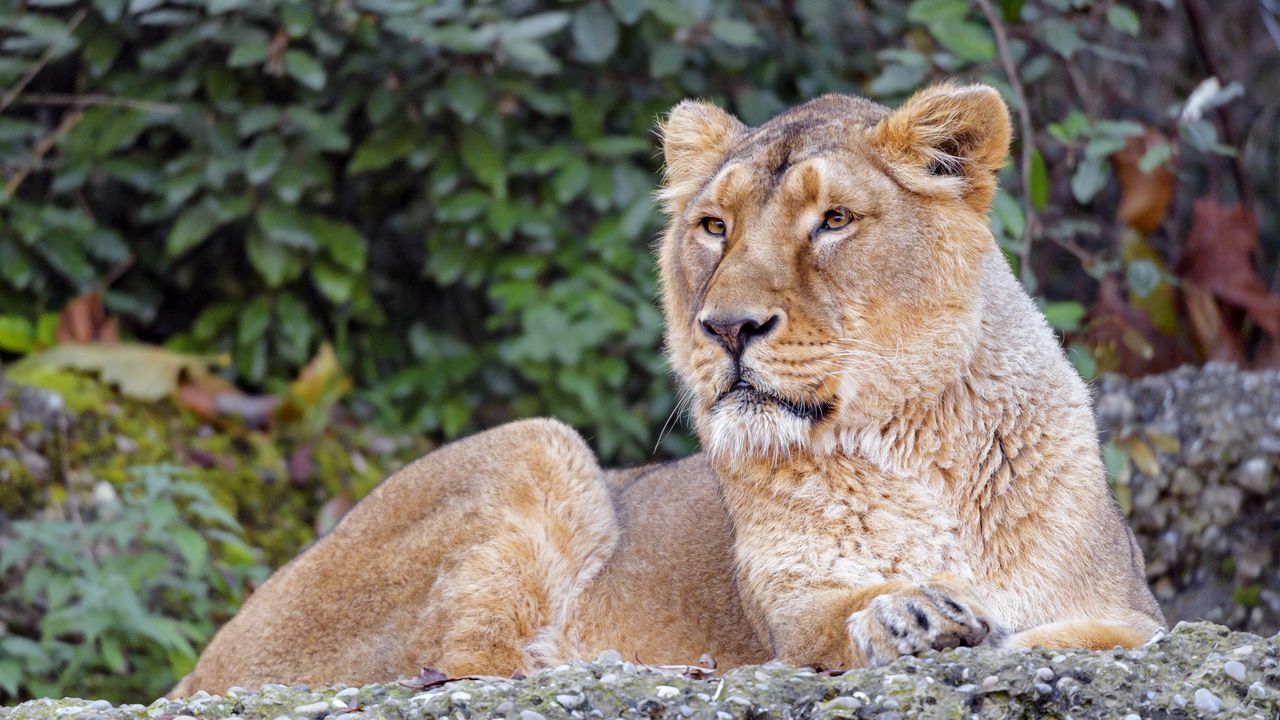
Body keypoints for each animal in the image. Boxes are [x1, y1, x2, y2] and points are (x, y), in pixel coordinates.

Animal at [172, 82, 1163, 695]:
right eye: (714, 227)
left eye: (834, 220)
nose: (726, 328)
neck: (908, 443)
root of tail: (200, 664)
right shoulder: (789, 621)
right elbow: (841, 620)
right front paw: (917, 611)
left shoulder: (1128, 602)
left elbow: (1115, 628)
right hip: (540, 443)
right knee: (456, 667)